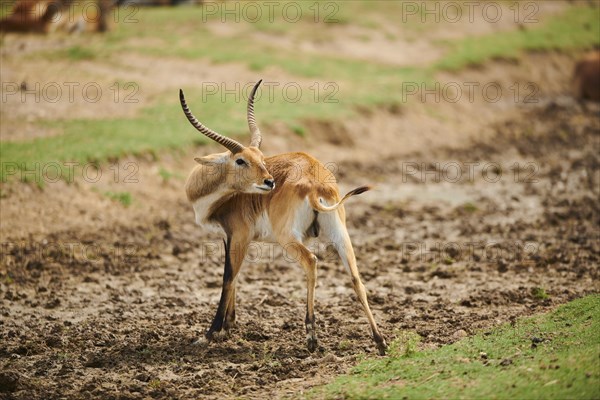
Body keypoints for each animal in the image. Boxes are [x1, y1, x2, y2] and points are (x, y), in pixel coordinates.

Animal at [183, 79, 386, 354]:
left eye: (260, 158)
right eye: (241, 160)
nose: (269, 181)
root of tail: (315, 180)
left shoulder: (240, 235)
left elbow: (227, 278)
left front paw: (210, 334)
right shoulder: (230, 238)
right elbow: (235, 277)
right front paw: (229, 327)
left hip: (287, 237)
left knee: (311, 261)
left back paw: (311, 338)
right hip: (340, 234)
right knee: (356, 278)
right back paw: (380, 343)